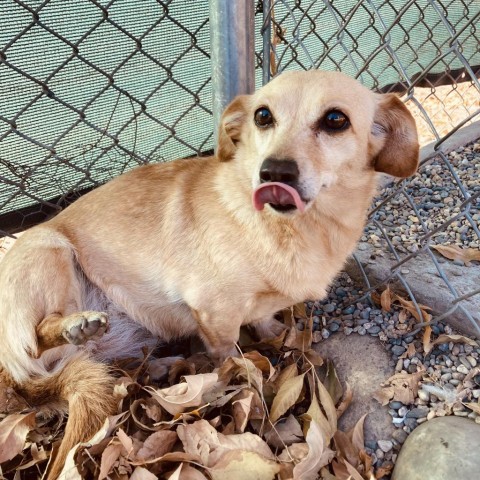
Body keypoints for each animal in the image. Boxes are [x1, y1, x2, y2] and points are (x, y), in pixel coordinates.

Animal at [0, 69, 420, 478]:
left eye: (336, 120)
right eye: (263, 116)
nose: (273, 172)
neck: (295, 229)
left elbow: (265, 320)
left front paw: (278, 334)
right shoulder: (214, 314)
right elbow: (231, 356)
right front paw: (243, 379)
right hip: (50, 249)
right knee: (36, 339)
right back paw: (77, 325)